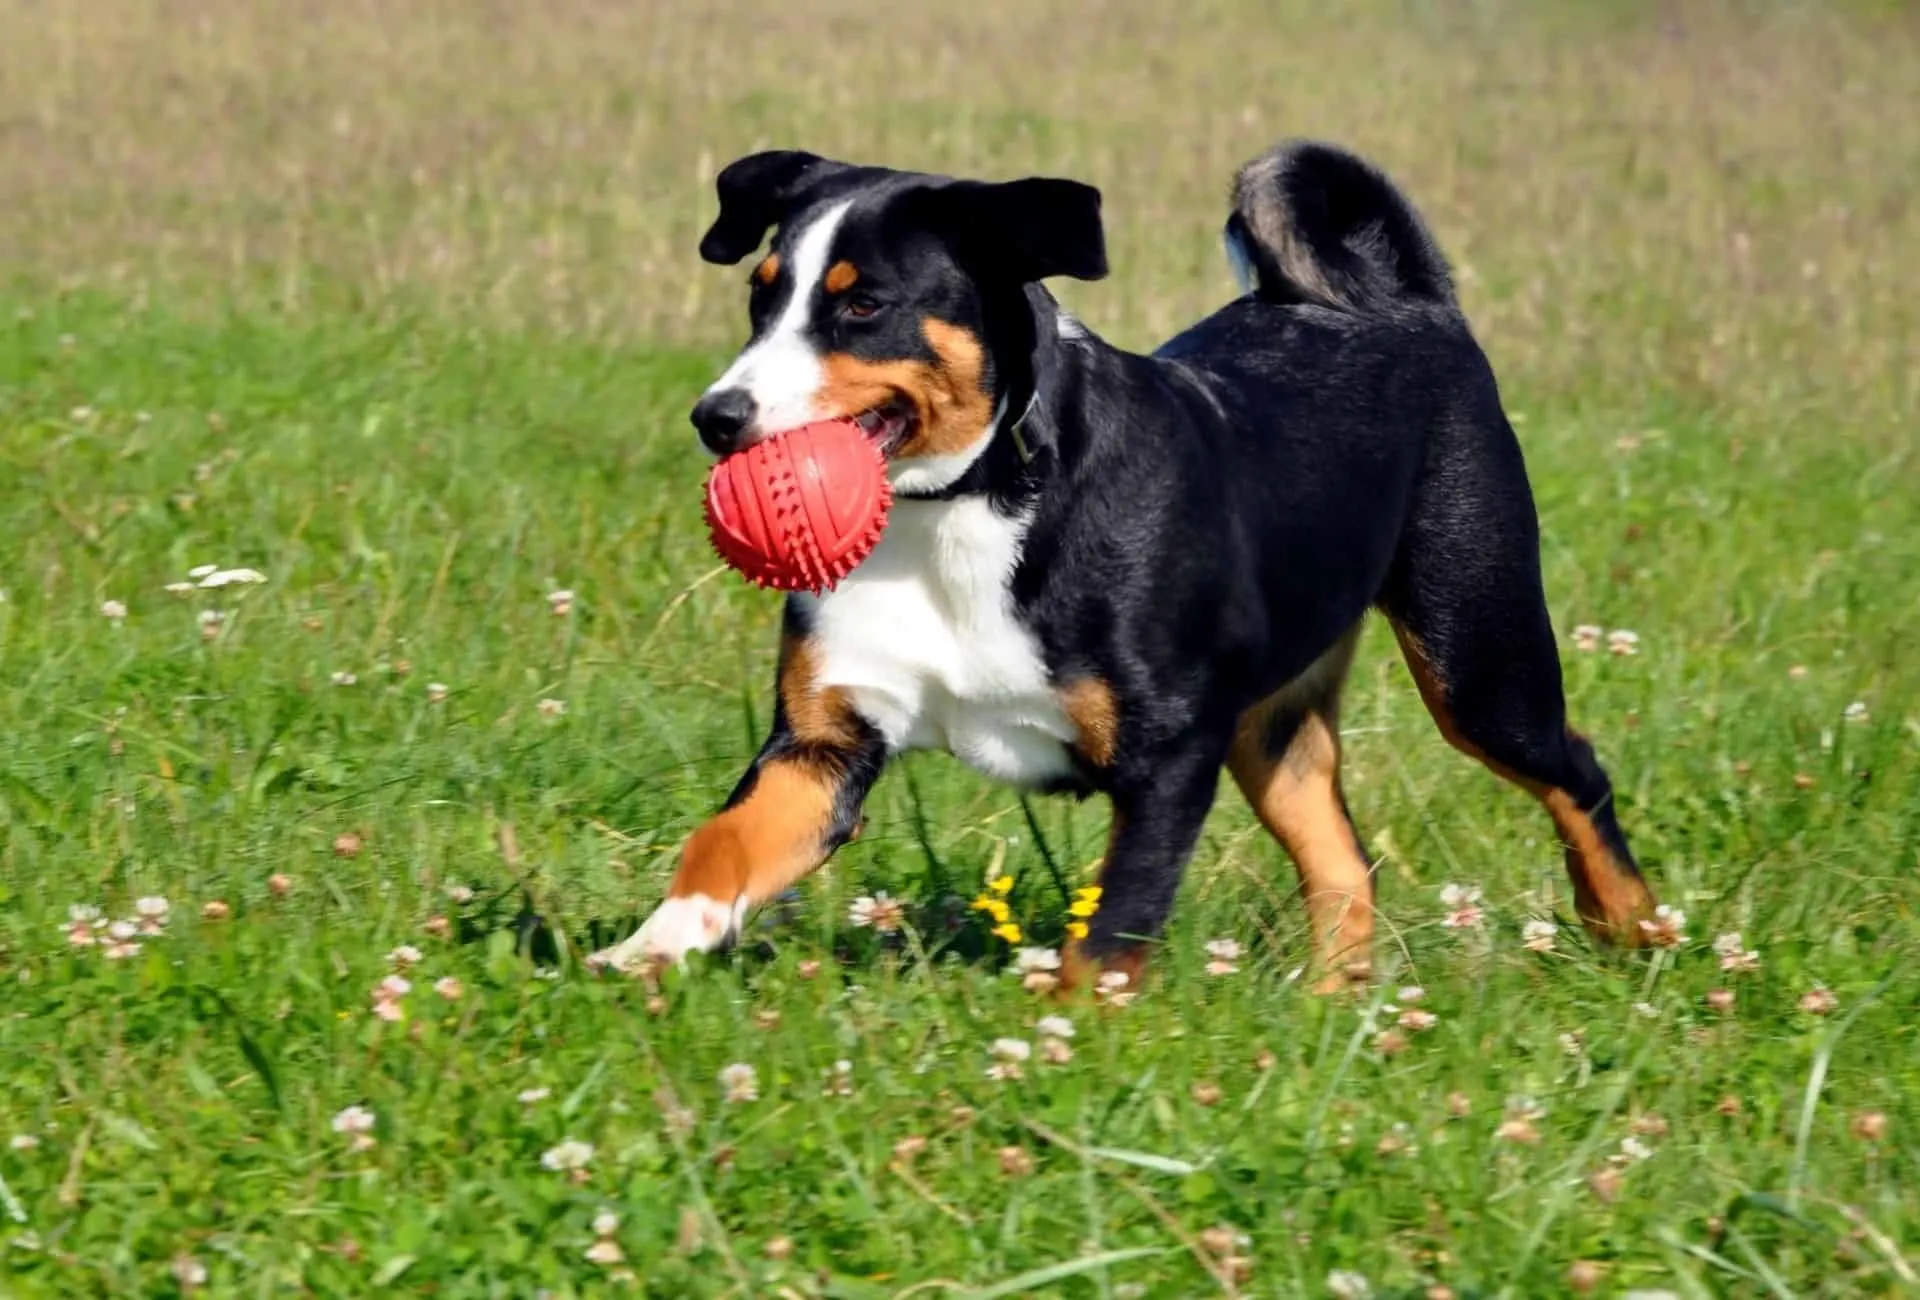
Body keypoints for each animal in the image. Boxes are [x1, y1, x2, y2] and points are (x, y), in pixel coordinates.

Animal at [602, 139, 1666, 983]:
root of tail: (1412, 303)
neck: (960, 512)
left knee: (1575, 772)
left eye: (862, 305)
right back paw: (1334, 1007)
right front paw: (648, 950)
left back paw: (1634, 929)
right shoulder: (823, 743)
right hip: (1271, 730)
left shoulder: (1169, 753)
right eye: (759, 298)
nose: (717, 417)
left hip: (1477, 658)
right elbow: (722, 846)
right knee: (1340, 860)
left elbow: (1114, 929)